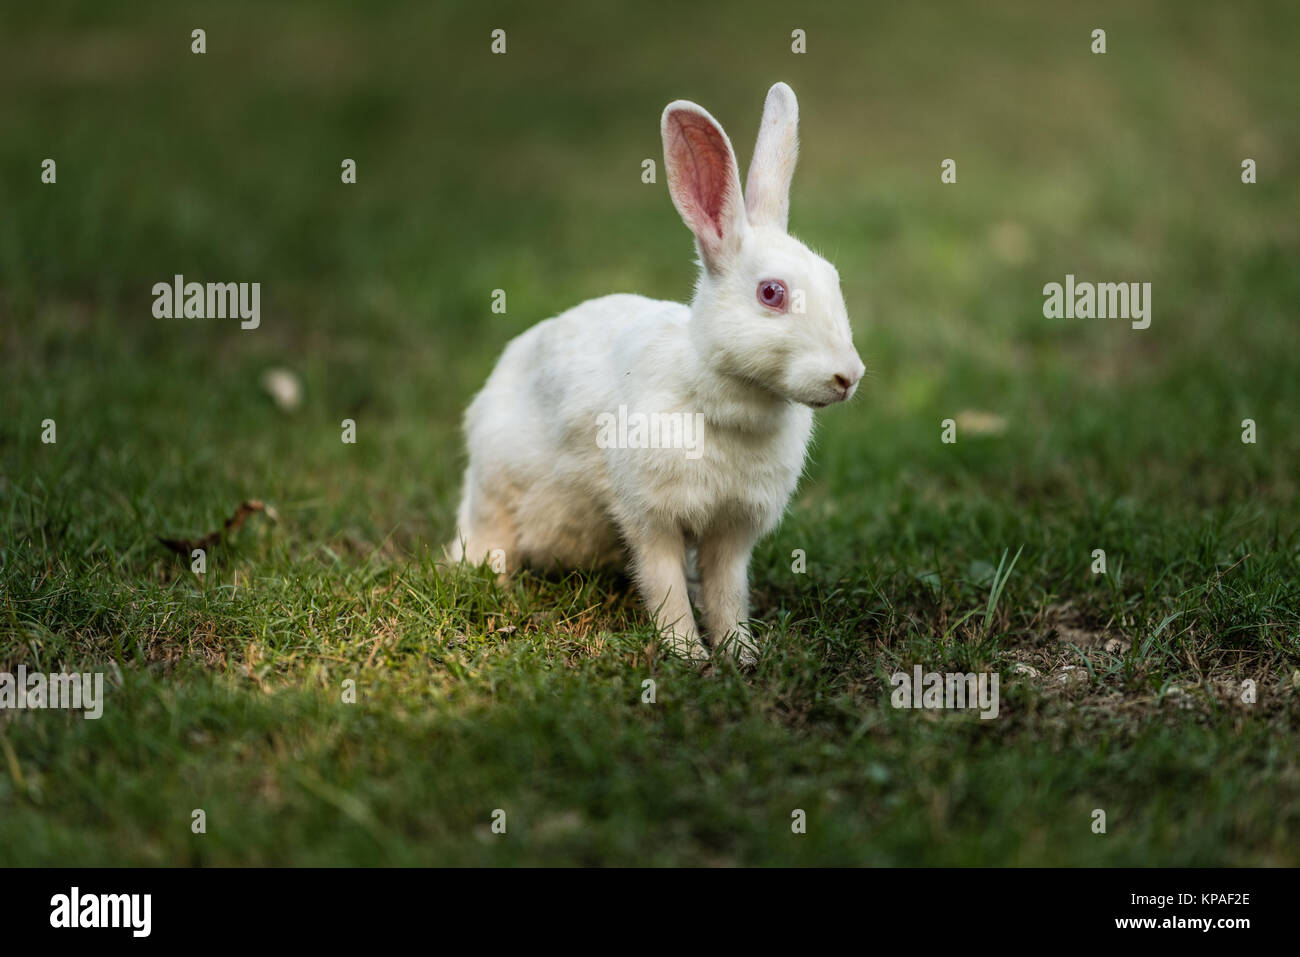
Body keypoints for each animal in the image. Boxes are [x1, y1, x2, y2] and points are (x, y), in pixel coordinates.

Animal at [448, 82, 864, 664]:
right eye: (771, 293)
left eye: (832, 277)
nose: (849, 376)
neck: (718, 404)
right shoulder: (650, 517)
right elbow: (664, 584)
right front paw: (688, 653)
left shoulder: (732, 531)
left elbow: (726, 590)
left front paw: (740, 653)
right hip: (494, 491)